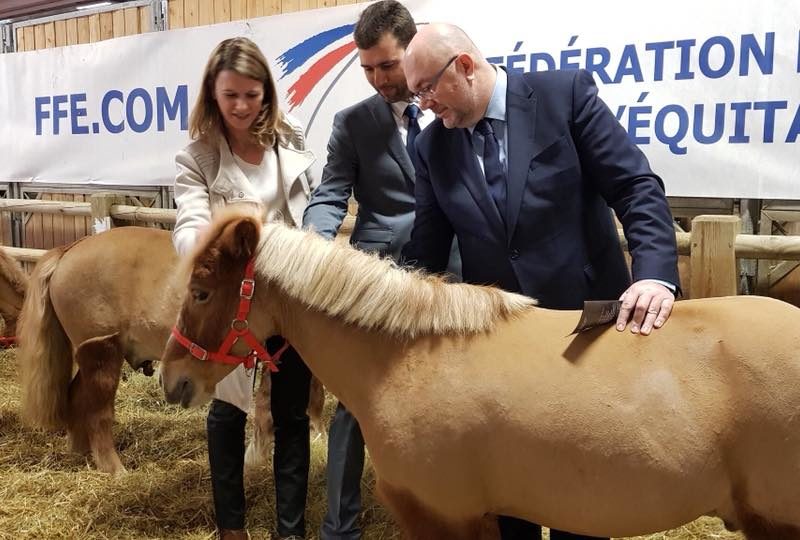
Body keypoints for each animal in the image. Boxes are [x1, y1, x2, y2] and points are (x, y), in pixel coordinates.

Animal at [16, 226, 322, 474]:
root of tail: (70, 250)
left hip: (91, 354)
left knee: (76, 396)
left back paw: (80, 451)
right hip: (103, 351)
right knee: (97, 412)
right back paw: (114, 469)